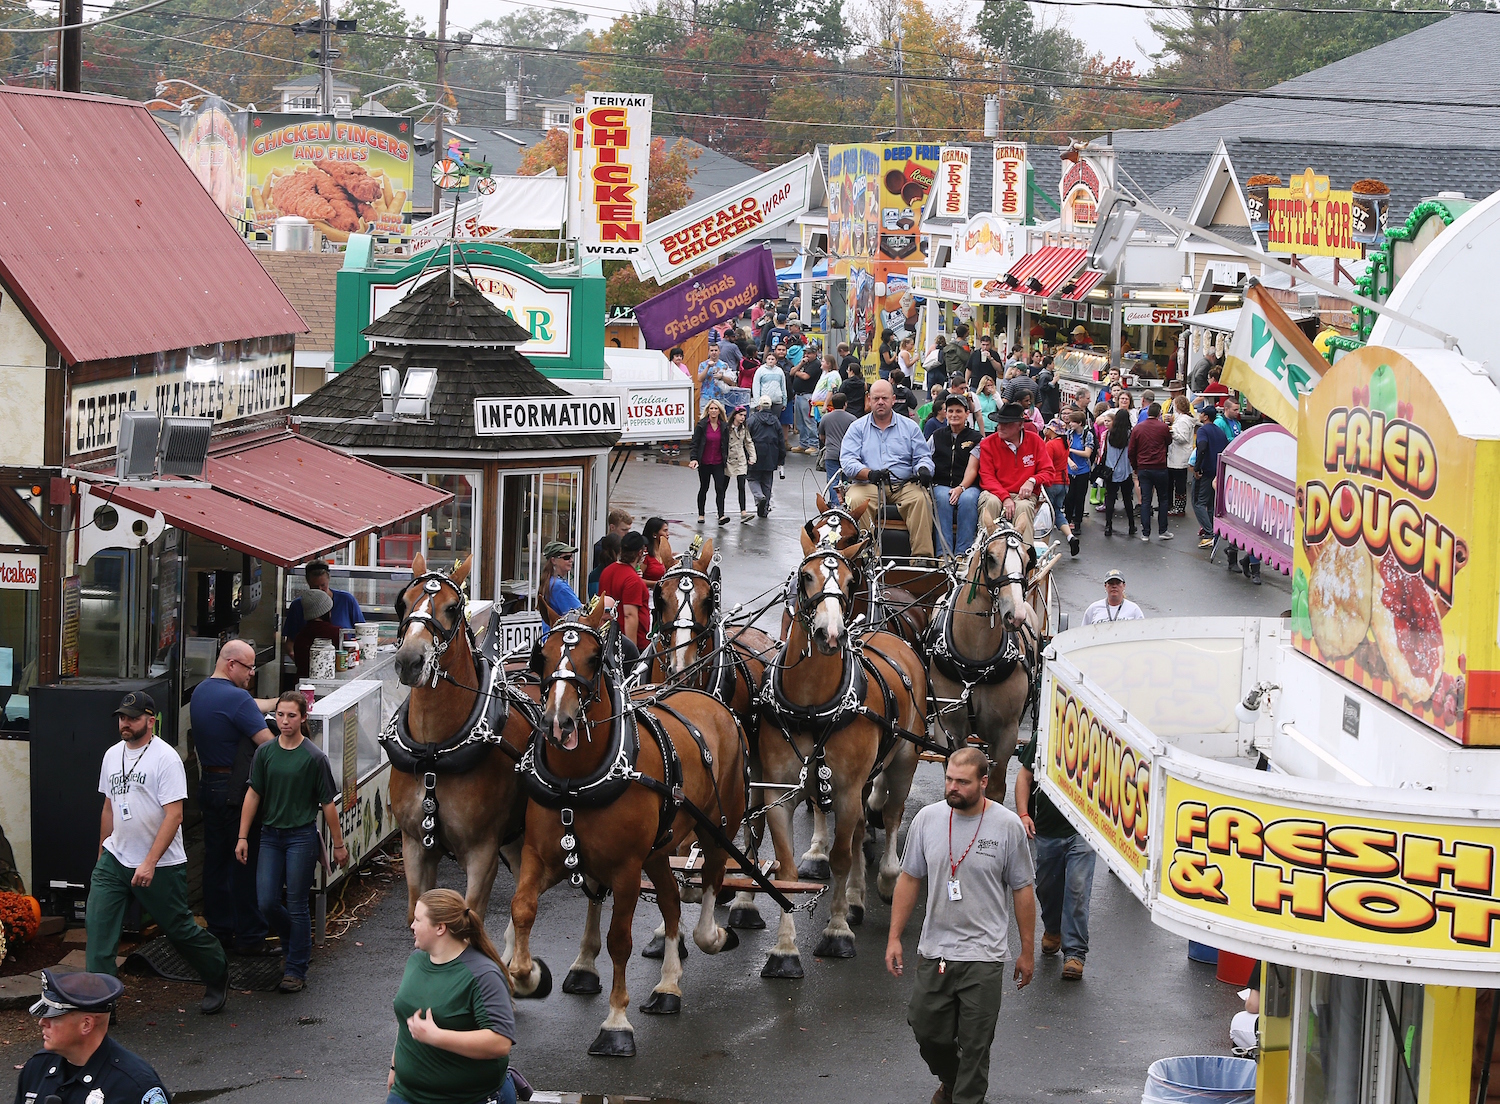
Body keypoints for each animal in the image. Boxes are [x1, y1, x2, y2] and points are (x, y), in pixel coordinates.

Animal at [384, 552, 543, 924]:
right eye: (402, 602)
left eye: (453, 607)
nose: (409, 660)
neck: (433, 753)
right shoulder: (414, 846)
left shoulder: (482, 853)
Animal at [510, 603, 750, 1062]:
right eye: (541, 657)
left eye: (592, 658)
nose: (558, 724)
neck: (576, 782)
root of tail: (709, 700)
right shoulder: (542, 855)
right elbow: (523, 909)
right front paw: (527, 975)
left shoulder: (624, 870)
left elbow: (619, 940)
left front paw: (616, 1023)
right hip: (657, 851)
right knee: (671, 902)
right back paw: (668, 985)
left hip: (718, 827)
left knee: (710, 883)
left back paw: (715, 935)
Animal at [756, 534, 930, 972]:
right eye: (805, 576)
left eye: (851, 582)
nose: (830, 634)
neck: (811, 705)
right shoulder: (778, 792)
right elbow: (786, 867)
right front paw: (785, 949)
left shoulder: (849, 790)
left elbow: (839, 857)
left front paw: (836, 932)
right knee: (858, 830)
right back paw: (854, 895)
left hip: (904, 760)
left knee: (890, 815)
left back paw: (886, 877)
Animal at [918, 528, 1038, 804]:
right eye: (991, 558)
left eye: (1028, 561)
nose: (1015, 615)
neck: (974, 667)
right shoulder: (948, 729)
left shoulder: (1006, 733)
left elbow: (995, 788)